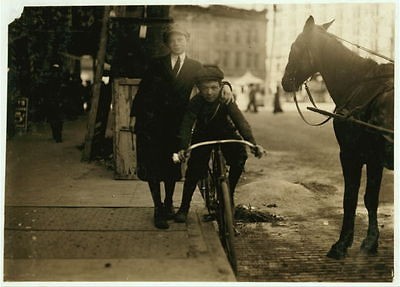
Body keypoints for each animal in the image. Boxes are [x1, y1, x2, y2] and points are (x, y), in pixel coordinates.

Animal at [282, 15, 394, 260]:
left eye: (294, 46)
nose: (284, 81)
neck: (359, 85)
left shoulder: (350, 154)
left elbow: (350, 198)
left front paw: (342, 244)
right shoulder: (374, 158)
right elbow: (371, 198)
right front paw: (371, 241)